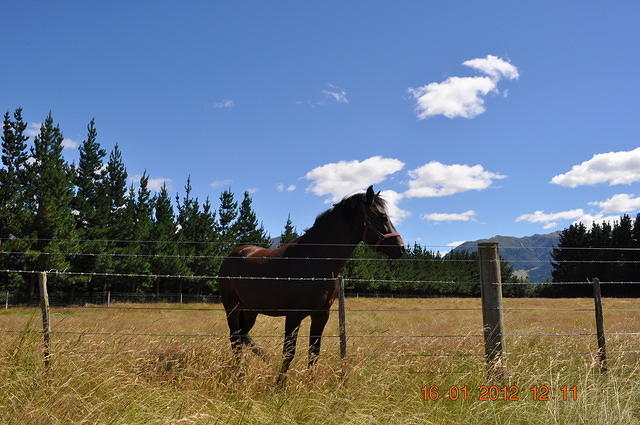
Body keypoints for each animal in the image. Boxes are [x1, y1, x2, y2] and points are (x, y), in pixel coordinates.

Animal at [218, 184, 402, 382]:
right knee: (235, 339)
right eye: (381, 216)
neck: (315, 260)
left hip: (250, 311)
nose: (401, 248)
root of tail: (234, 254)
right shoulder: (294, 316)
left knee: (242, 336)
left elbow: (314, 352)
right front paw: (279, 384)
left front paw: (310, 383)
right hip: (232, 308)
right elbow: (289, 352)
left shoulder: (321, 315)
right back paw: (238, 374)